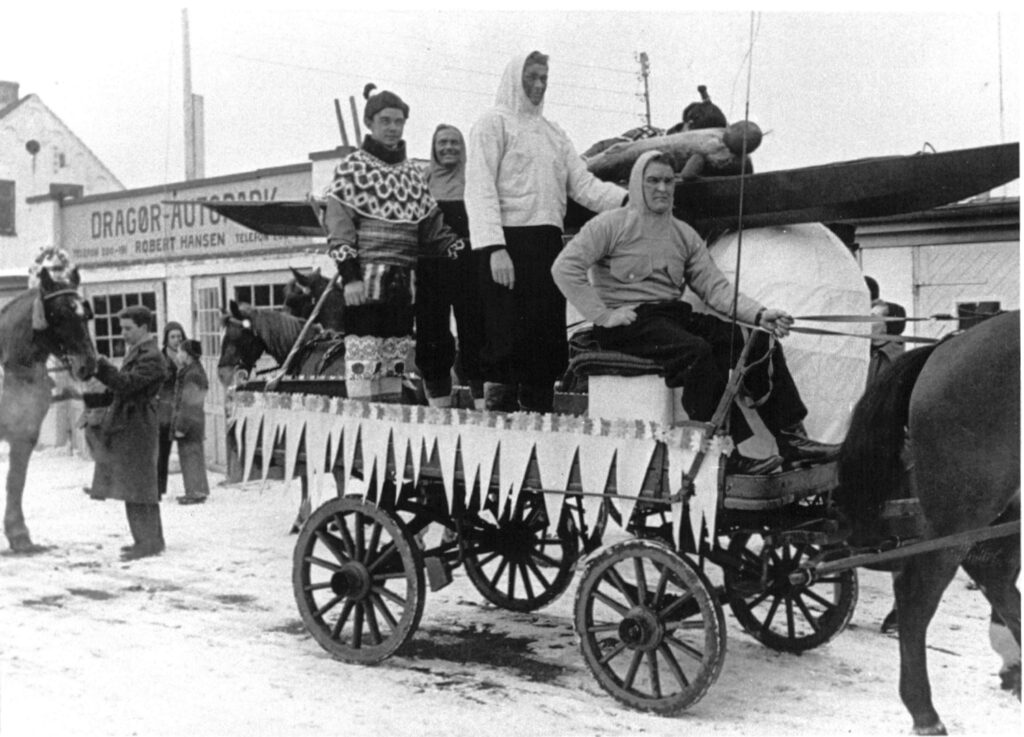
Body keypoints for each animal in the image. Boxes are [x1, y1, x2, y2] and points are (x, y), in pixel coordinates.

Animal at [0, 268, 97, 552]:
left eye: (84, 314)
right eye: (59, 314)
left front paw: (19, 534)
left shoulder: (25, 433)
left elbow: (16, 481)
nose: (88, 364)